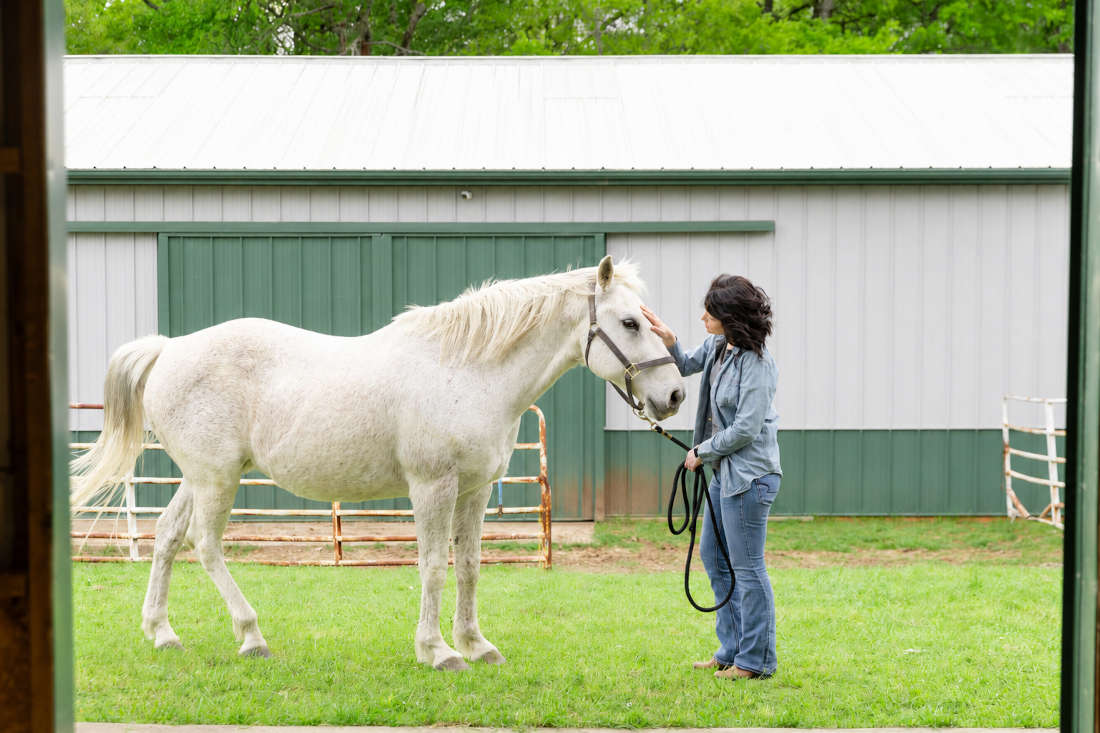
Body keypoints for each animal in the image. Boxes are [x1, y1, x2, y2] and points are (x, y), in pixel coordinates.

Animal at [71, 255, 685, 670]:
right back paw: (251, 635)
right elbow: (433, 566)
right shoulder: (433, 488)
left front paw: (476, 645)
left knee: (167, 535)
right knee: (205, 544)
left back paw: (163, 632)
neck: (466, 370)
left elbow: (468, 567)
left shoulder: (474, 491)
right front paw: (437, 651)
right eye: (630, 323)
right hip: (216, 479)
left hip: (201, 476)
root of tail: (169, 348)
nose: (675, 395)